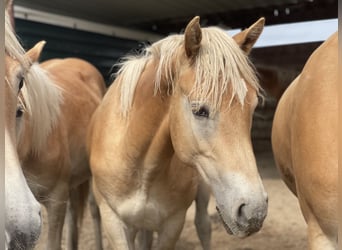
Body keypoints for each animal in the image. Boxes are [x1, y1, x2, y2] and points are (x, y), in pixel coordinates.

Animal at [87, 16, 268, 249]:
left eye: (252, 107)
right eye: (199, 110)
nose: (255, 211)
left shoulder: (173, 223)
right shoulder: (113, 222)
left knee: (203, 226)